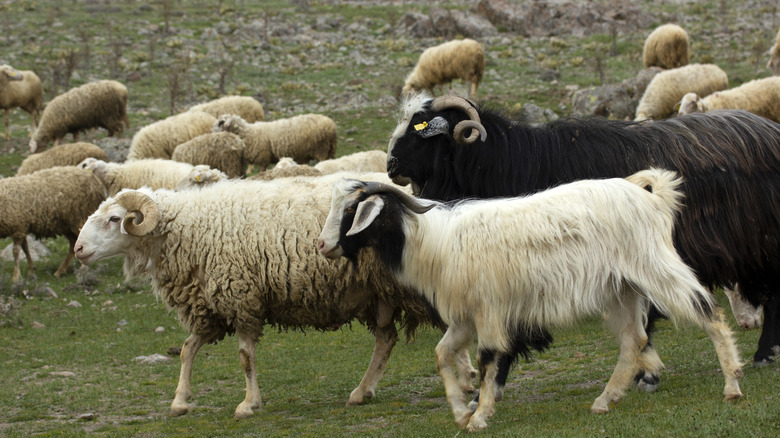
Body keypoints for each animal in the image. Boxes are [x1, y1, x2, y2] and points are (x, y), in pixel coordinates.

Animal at [73, 172, 478, 418]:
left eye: (114, 220)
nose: (78, 249)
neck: (190, 229)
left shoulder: (240, 296)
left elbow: (244, 357)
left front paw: (248, 404)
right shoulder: (211, 305)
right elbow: (188, 349)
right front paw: (179, 401)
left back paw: (466, 377)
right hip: (378, 293)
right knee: (387, 339)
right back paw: (363, 391)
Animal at [318, 170, 743, 431]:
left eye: (352, 209)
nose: (322, 246)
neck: (434, 240)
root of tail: (651, 199)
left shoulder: (488, 309)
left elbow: (489, 358)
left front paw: (480, 415)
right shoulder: (464, 316)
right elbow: (442, 354)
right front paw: (459, 409)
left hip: (655, 266)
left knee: (707, 311)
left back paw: (732, 386)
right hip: (620, 288)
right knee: (633, 341)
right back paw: (606, 399)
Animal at [385, 93, 780, 390]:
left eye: (422, 128)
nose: (390, 165)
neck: (512, 164)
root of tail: (770, 129)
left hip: (765, 247)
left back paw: (764, 354)